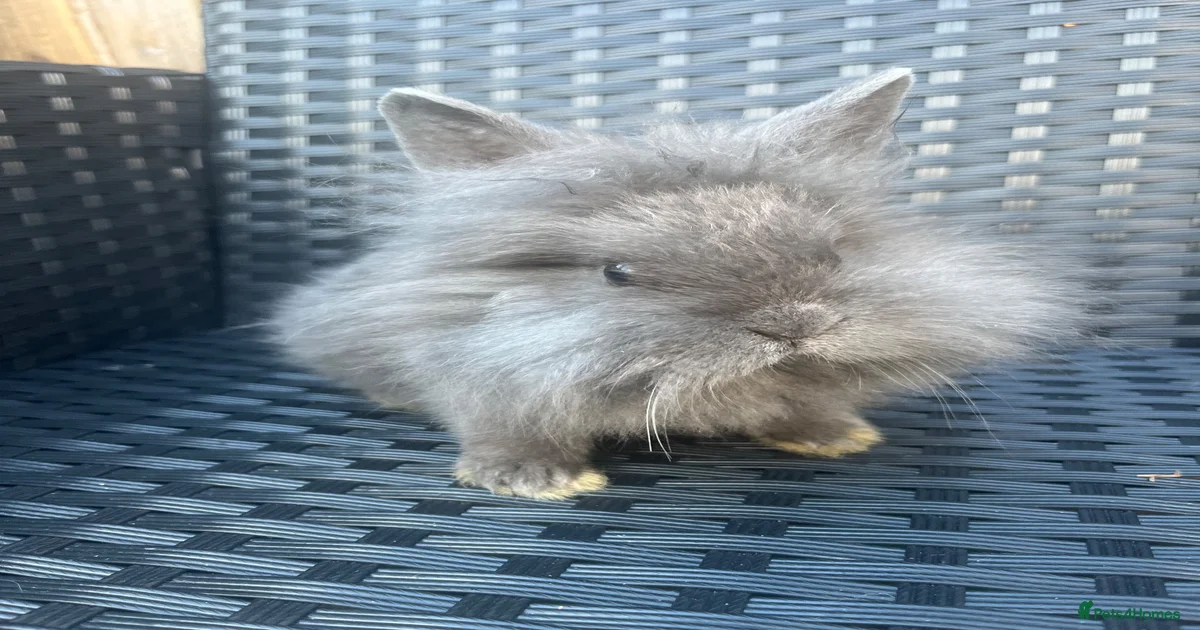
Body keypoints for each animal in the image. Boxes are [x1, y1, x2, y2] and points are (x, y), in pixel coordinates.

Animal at [270, 68, 1088, 500]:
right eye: (617, 273)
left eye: (832, 252)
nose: (791, 324)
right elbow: (502, 423)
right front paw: (537, 479)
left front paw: (833, 437)